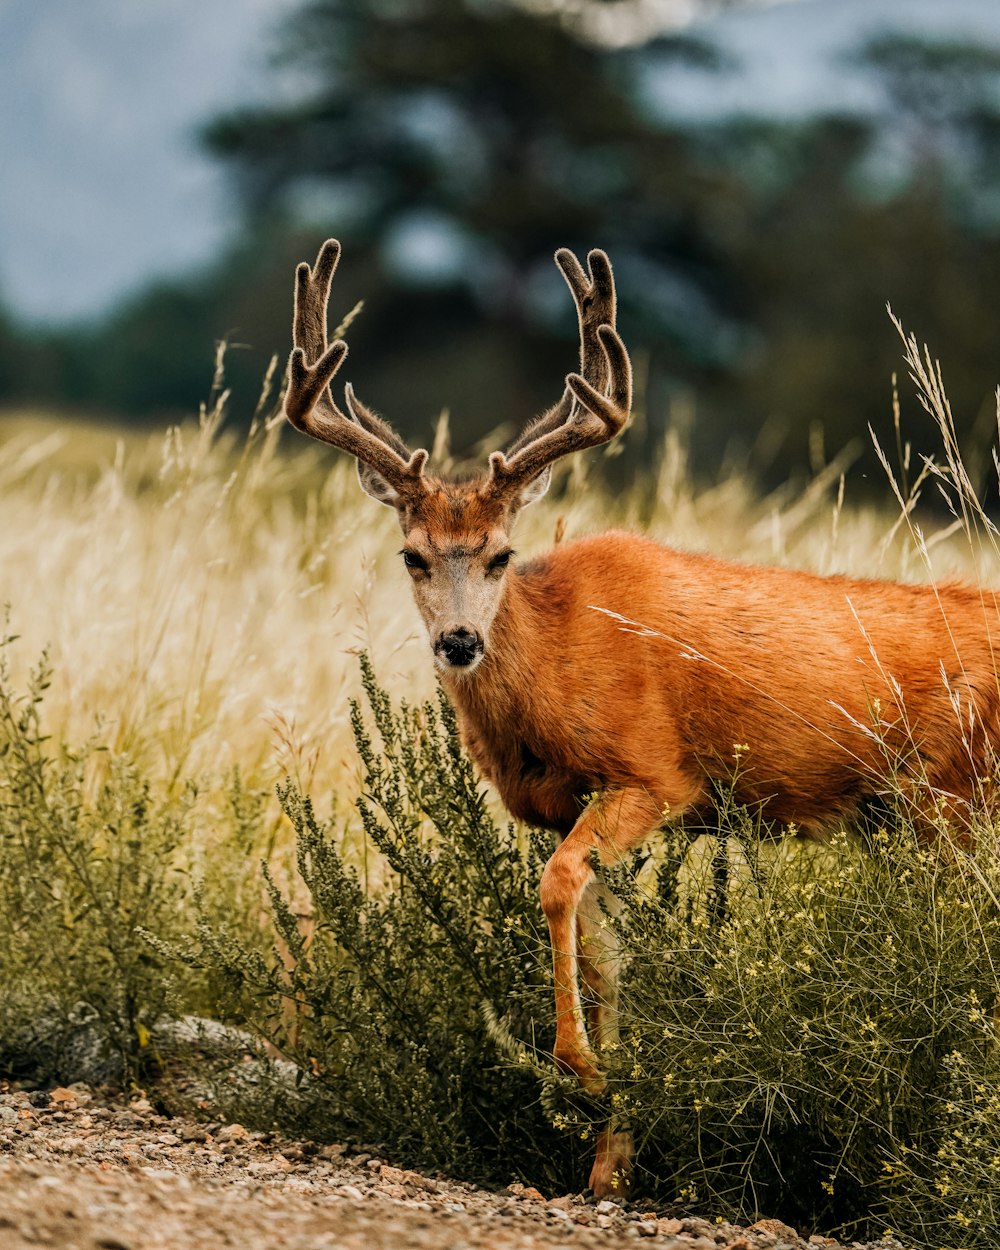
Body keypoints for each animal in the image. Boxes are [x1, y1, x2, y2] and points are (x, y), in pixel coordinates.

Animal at [281, 236, 1000, 1200]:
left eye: (501, 553)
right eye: (412, 556)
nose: (461, 642)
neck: (555, 660)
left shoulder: (653, 773)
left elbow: (557, 887)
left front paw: (583, 1071)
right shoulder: (581, 804)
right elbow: (607, 948)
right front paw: (610, 1155)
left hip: (952, 797)